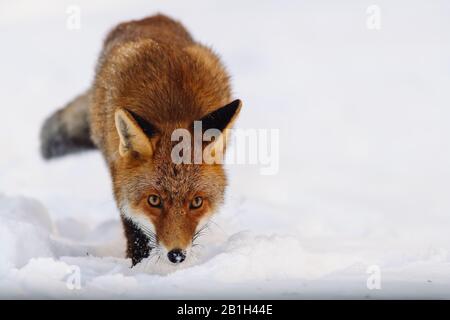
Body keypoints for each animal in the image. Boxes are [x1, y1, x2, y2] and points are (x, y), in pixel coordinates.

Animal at [40, 14, 241, 264]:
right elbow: (133, 226)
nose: (176, 255)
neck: (172, 110)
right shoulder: (119, 175)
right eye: (154, 200)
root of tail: (152, 17)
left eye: (196, 202)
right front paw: (138, 265)